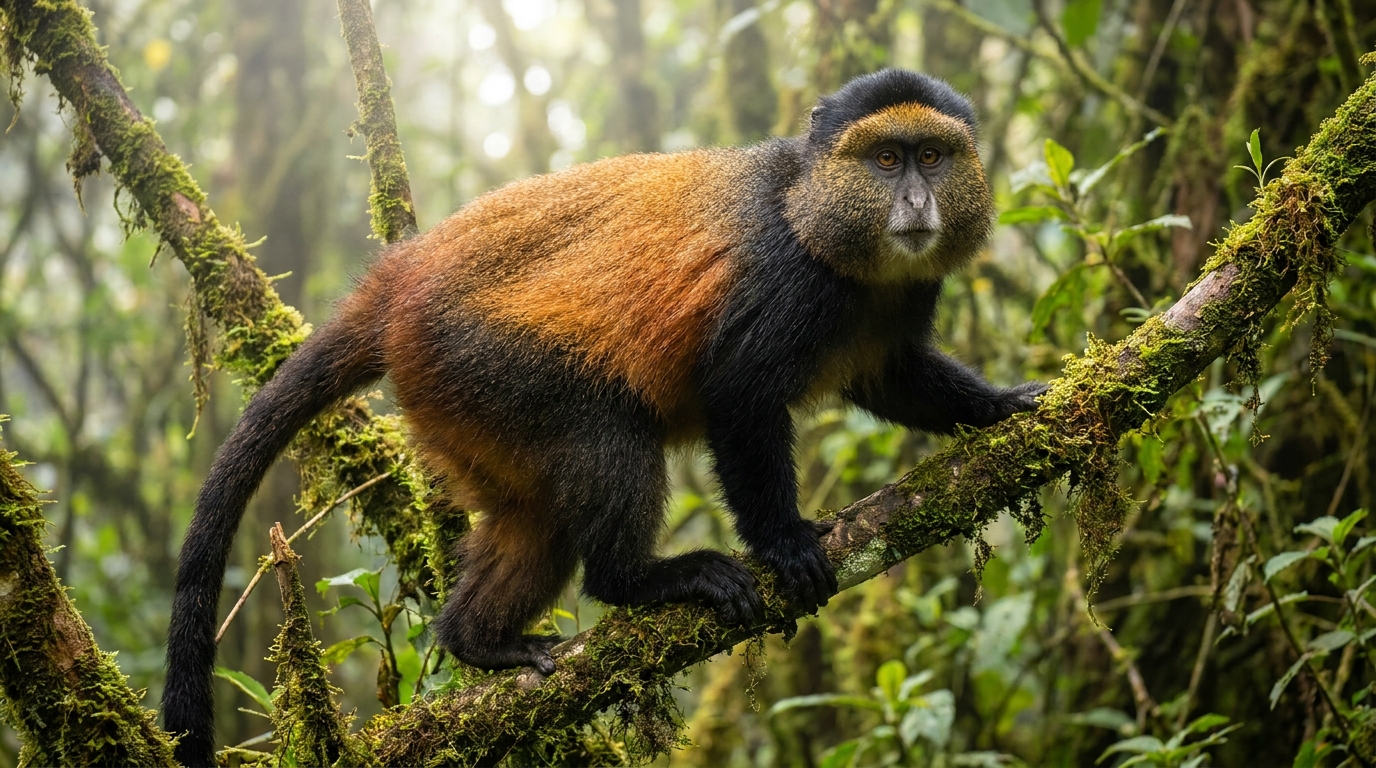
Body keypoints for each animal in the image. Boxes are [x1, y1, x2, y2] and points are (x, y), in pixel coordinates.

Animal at [162, 69, 1045, 765]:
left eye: (933, 155)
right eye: (885, 158)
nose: (918, 200)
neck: (816, 212)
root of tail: (398, 279)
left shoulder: (902, 298)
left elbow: (893, 378)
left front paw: (1006, 405)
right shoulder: (788, 280)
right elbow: (740, 396)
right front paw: (786, 544)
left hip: (458, 403)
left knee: (537, 522)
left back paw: (478, 640)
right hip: (485, 360)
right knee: (611, 442)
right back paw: (642, 580)